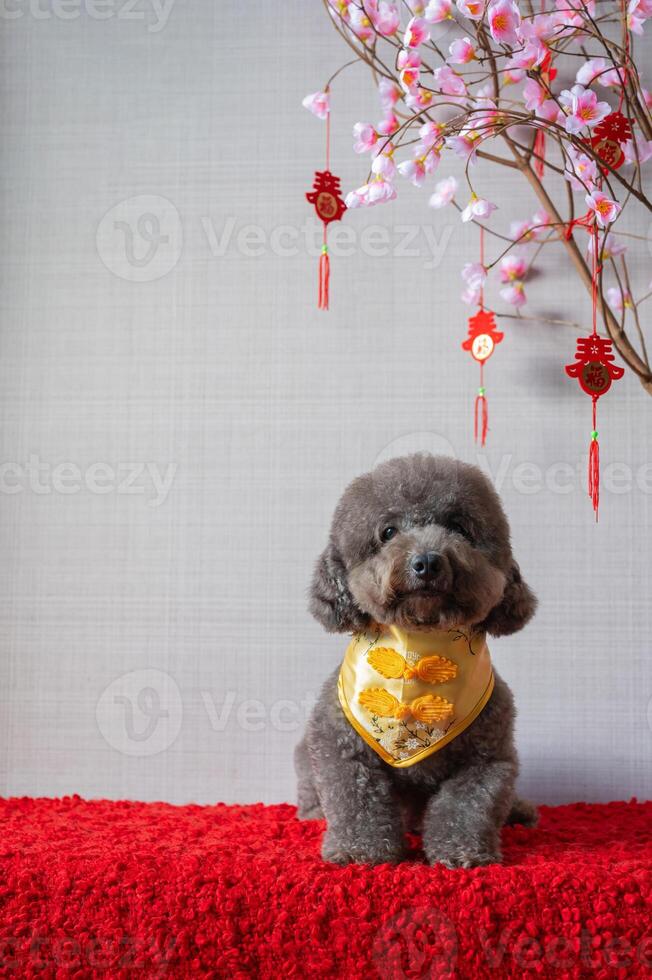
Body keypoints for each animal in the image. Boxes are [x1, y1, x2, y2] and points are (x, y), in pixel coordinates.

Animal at [292, 456, 536, 868]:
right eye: (388, 532)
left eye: (458, 527)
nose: (427, 562)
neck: (418, 648)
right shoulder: (341, 749)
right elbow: (357, 801)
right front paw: (360, 851)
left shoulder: (486, 760)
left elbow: (466, 807)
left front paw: (462, 852)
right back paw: (312, 814)